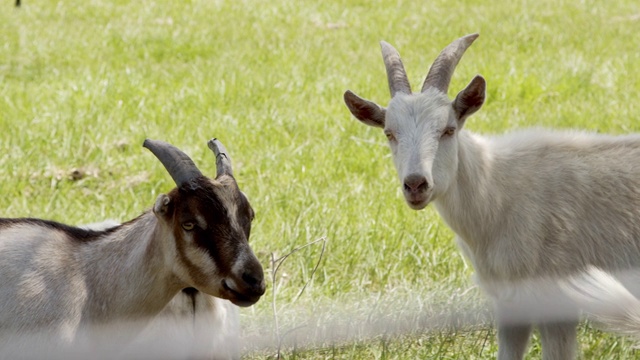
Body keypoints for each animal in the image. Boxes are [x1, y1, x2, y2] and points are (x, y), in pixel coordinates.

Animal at [344, 33, 640, 358]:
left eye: (448, 130)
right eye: (389, 133)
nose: (416, 185)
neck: (495, 193)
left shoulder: (556, 301)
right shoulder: (509, 301)